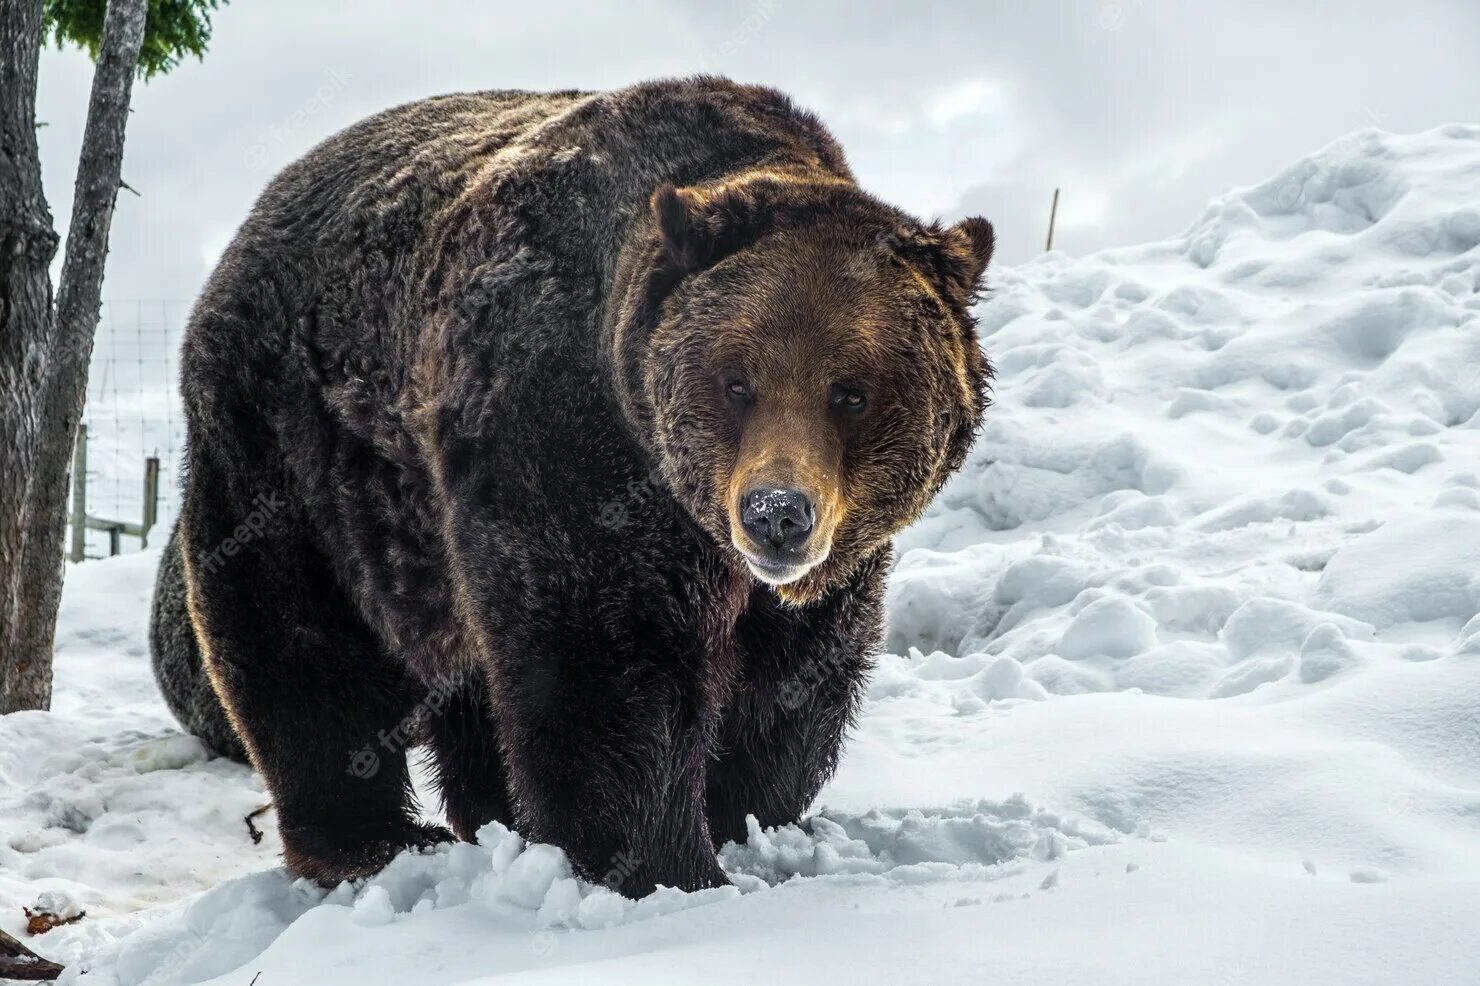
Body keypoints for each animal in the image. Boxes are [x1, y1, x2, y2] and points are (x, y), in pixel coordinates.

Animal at [153, 76, 994, 888]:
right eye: (737, 382)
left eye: (851, 393)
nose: (777, 514)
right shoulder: (566, 446)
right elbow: (605, 666)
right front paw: (664, 865)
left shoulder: (817, 570)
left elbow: (793, 681)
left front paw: (745, 819)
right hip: (295, 455)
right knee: (302, 641)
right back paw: (372, 840)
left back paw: (492, 817)